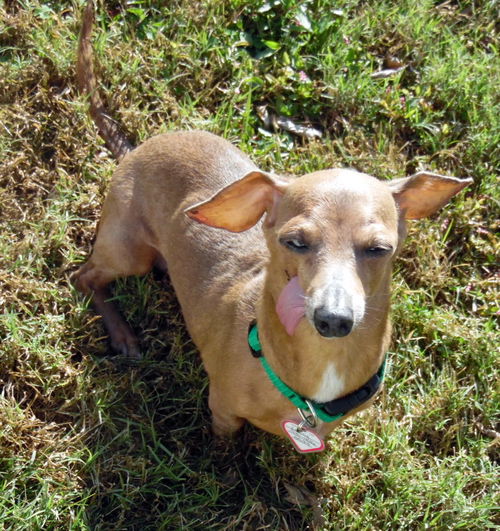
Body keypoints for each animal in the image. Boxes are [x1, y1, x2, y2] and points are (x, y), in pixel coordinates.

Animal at [72, 0, 470, 450]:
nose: (334, 319)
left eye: (379, 249)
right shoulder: (222, 409)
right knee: (84, 276)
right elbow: (224, 445)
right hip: (128, 252)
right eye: (294, 241)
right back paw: (122, 333)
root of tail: (135, 147)